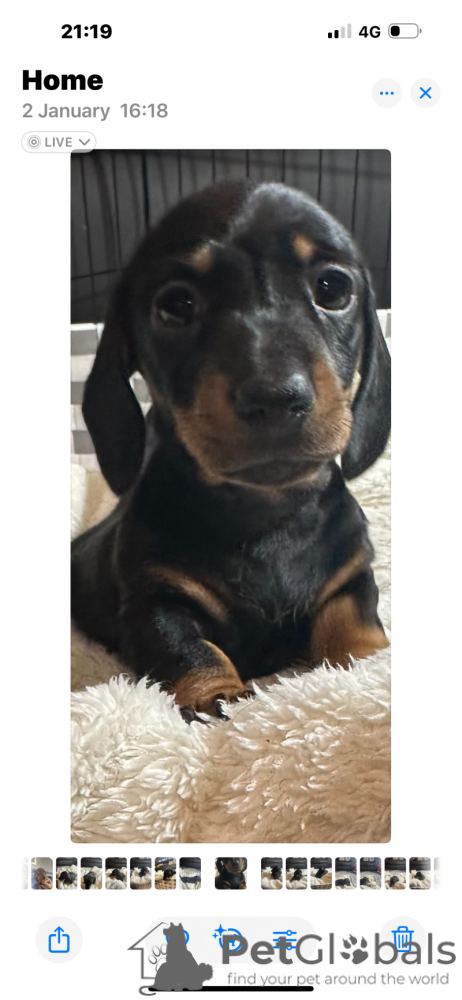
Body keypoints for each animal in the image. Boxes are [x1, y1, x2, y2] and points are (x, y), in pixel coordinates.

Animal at [72, 180, 391, 717]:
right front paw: (217, 696)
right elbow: (187, 647)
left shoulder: (351, 576)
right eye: (177, 305)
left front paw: (373, 666)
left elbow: (354, 622)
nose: (275, 396)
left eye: (333, 289)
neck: (266, 516)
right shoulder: (154, 600)